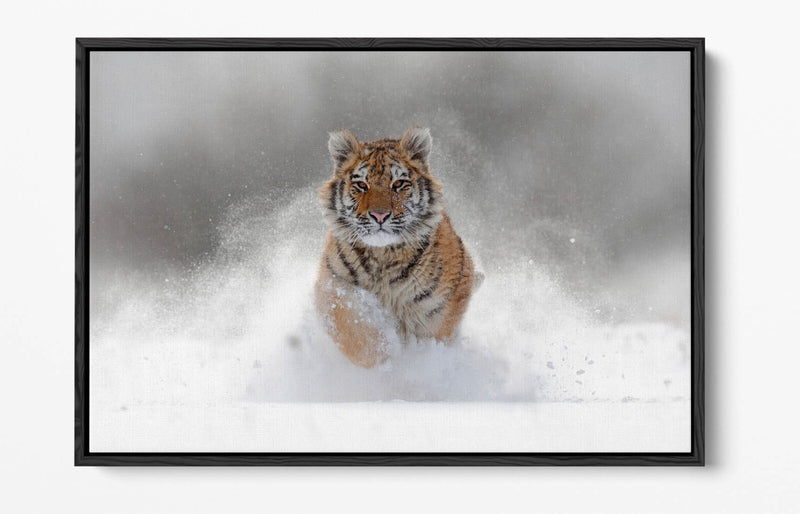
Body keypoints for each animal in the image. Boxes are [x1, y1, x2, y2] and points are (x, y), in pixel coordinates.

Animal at [315, 127, 480, 368]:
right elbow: (355, 332)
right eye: (361, 185)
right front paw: (384, 358)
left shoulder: (442, 304)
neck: (383, 256)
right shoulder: (333, 286)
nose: (379, 215)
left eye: (399, 184)